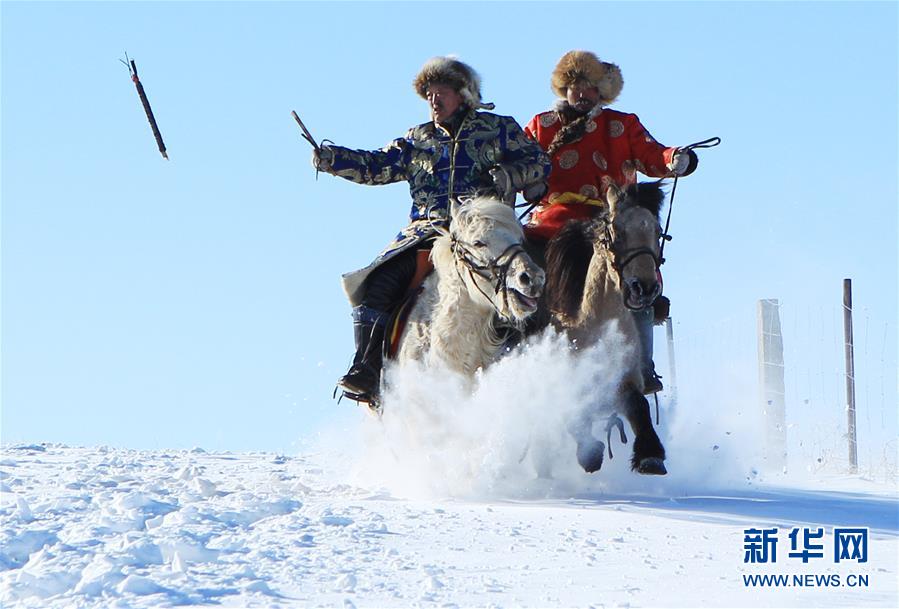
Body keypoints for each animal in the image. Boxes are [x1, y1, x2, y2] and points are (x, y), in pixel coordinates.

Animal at [540, 180, 668, 476]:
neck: (592, 325)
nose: (644, 288)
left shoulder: (624, 379)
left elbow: (639, 404)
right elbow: (573, 414)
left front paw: (650, 455)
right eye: (617, 232)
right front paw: (590, 454)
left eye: (657, 231)